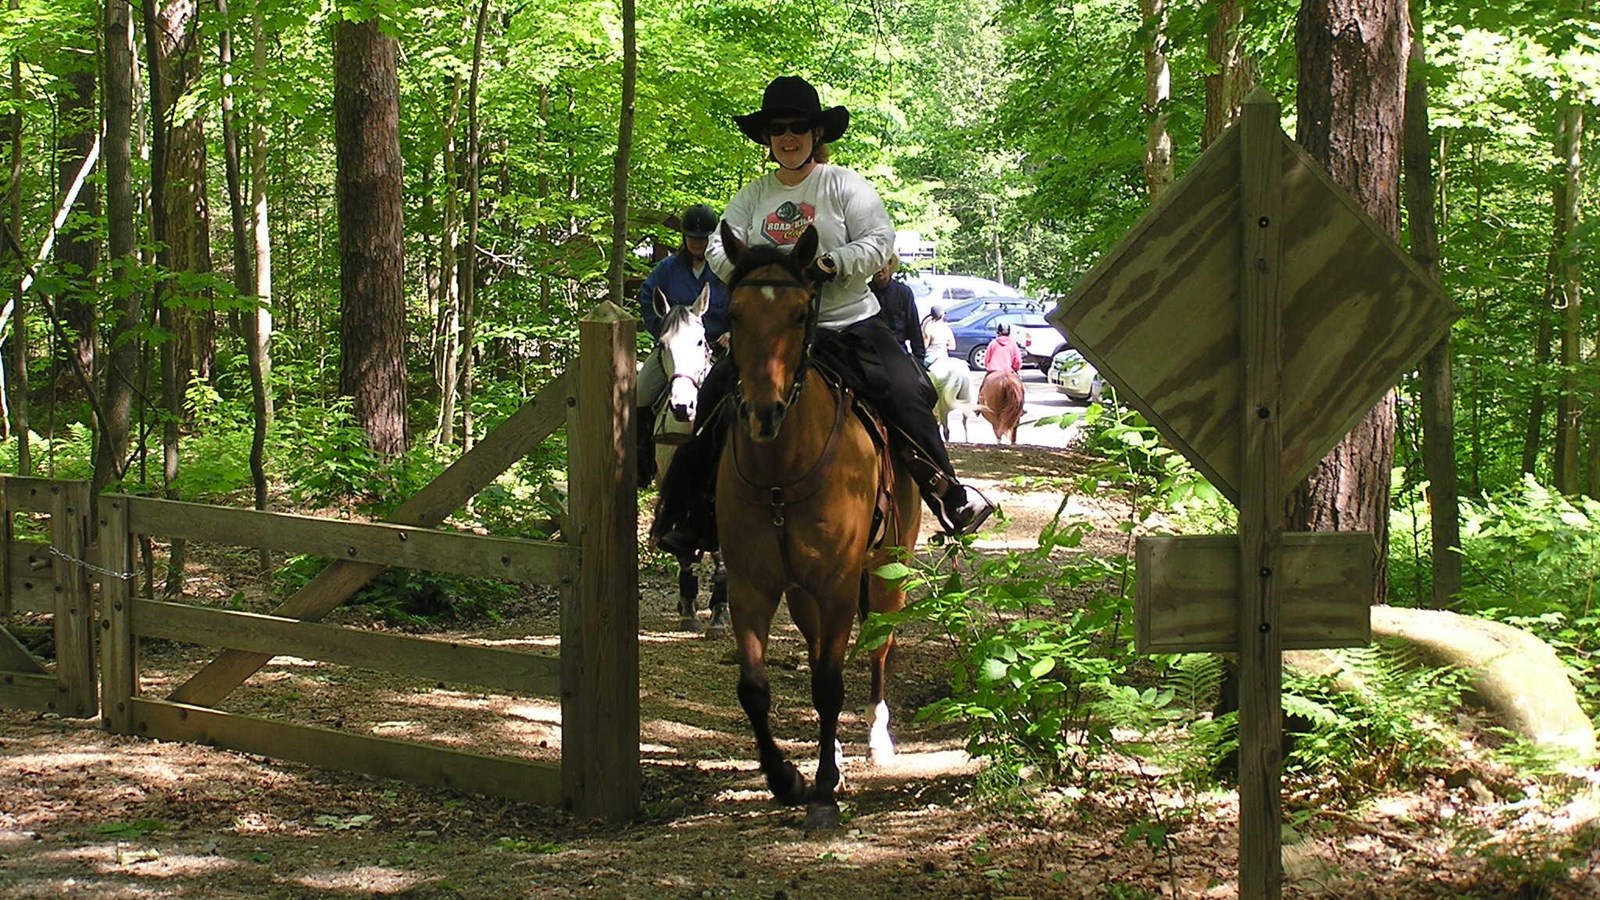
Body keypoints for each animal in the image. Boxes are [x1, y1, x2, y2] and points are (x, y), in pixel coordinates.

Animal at [716, 222, 921, 826]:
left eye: (801, 312)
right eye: (735, 312)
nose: (763, 413)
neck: (780, 476)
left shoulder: (837, 585)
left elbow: (829, 685)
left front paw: (825, 788)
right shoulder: (751, 585)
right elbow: (754, 688)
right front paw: (784, 778)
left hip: (887, 571)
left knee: (879, 646)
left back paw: (877, 740)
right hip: (803, 593)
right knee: (813, 651)